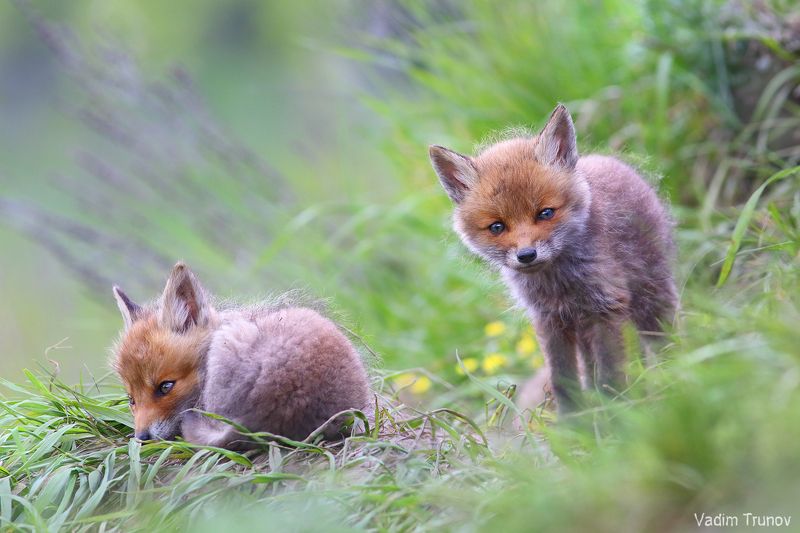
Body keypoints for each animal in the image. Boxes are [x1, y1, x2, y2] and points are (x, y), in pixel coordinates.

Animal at [429, 104, 677, 414]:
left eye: (545, 213)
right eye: (497, 227)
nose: (526, 255)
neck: (557, 284)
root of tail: (605, 159)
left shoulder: (607, 307)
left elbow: (610, 376)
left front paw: (616, 413)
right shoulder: (549, 321)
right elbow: (564, 381)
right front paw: (575, 420)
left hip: (651, 295)